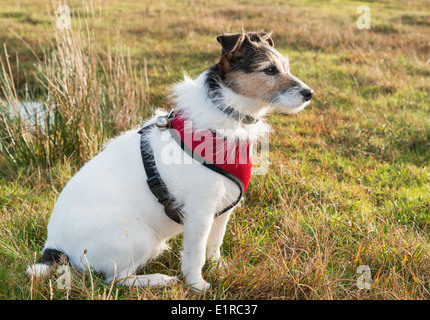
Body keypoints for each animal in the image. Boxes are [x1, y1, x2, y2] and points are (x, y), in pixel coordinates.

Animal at [26, 31, 312, 292]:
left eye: (285, 67)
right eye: (270, 70)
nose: (309, 93)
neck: (228, 115)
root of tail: (54, 247)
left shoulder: (224, 209)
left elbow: (215, 244)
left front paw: (219, 267)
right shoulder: (199, 214)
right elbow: (196, 254)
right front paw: (196, 285)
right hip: (140, 237)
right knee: (114, 280)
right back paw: (157, 280)